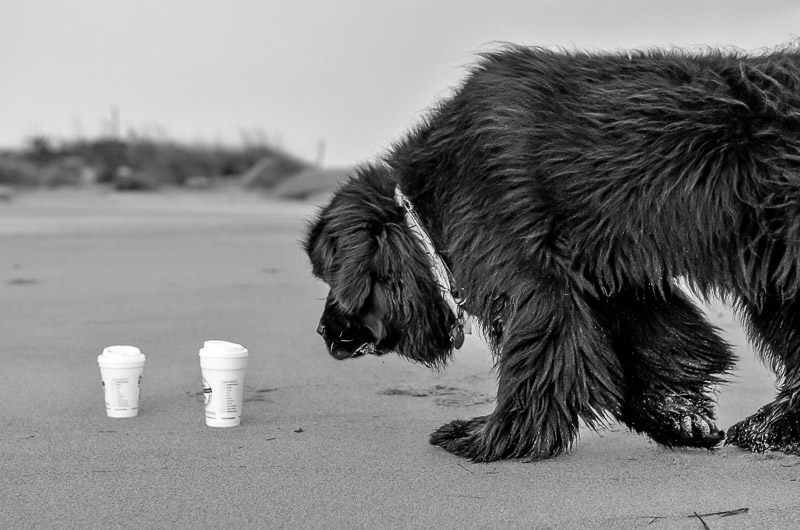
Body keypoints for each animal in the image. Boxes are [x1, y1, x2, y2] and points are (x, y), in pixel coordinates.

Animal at [304, 44, 800, 458]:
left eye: (331, 278)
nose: (323, 331)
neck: (433, 194)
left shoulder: (530, 277)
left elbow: (538, 358)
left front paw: (492, 437)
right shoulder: (606, 279)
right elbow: (651, 349)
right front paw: (680, 420)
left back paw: (768, 429)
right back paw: (772, 430)